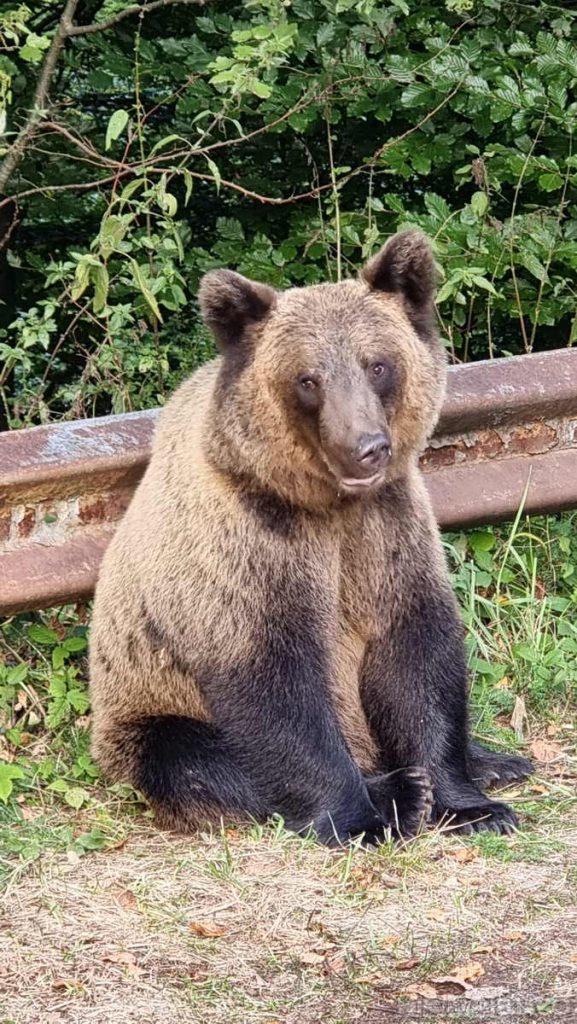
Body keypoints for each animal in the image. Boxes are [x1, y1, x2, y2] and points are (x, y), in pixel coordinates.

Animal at [89, 234, 532, 847]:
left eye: (377, 364)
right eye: (308, 379)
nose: (364, 448)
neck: (328, 505)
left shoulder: (387, 529)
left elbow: (416, 654)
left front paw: (471, 805)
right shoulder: (247, 546)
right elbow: (276, 690)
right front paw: (370, 812)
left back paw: (498, 760)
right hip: (142, 711)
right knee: (196, 760)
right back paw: (393, 786)